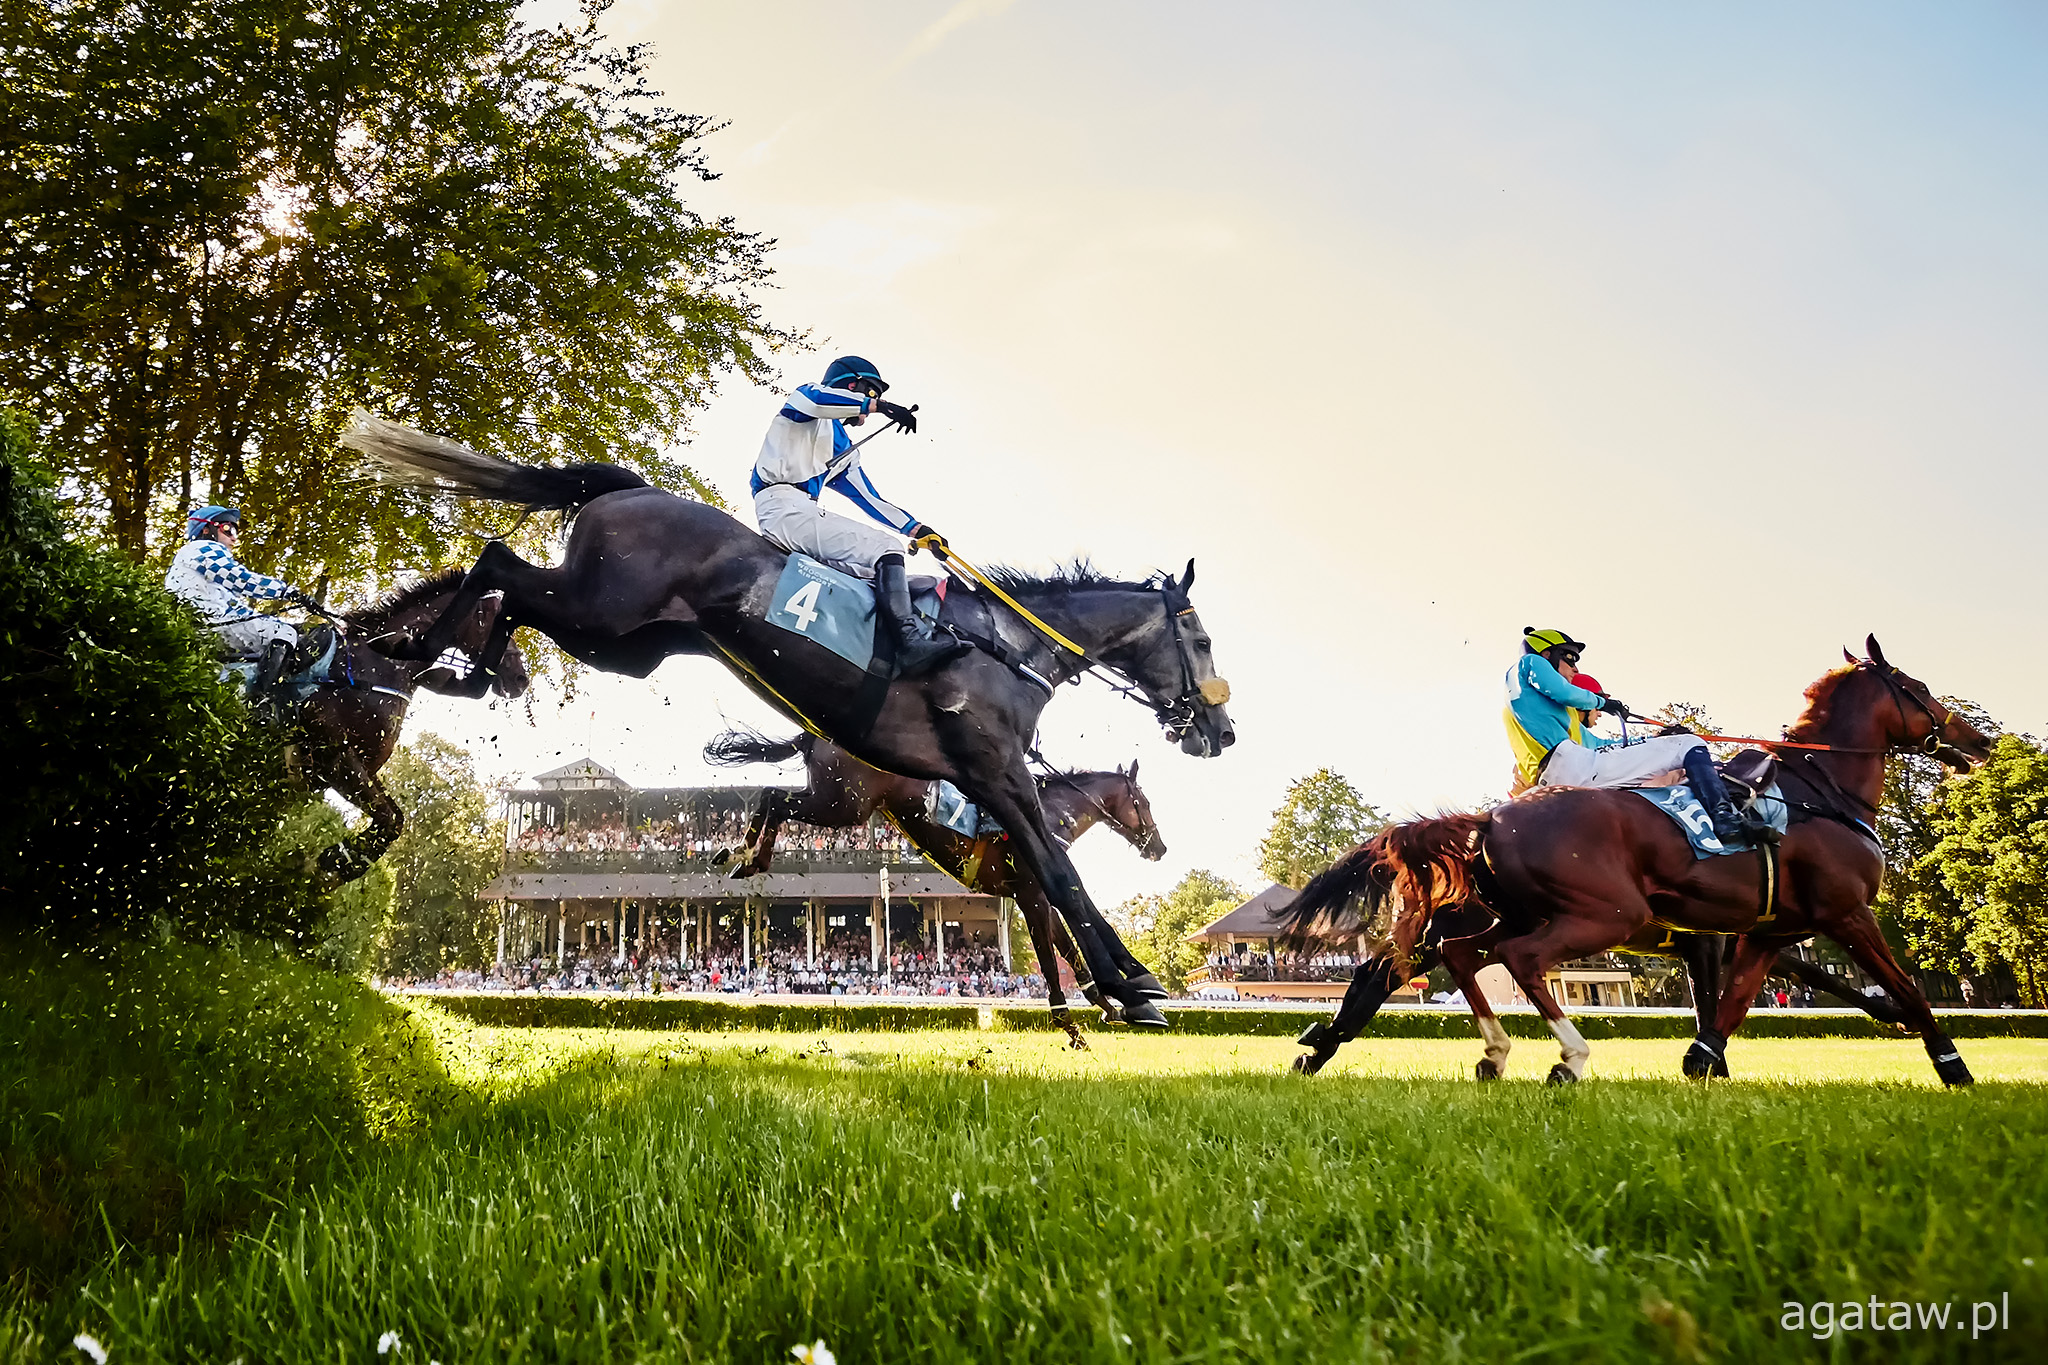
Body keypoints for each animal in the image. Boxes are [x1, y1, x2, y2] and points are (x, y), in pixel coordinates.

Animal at [280, 571, 528, 881]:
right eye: (501, 621)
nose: (521, 679)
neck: (379, 665)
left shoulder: (350, 769)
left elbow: (395, 819)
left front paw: (342, 859)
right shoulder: (336, 759)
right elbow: (389, 820)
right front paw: (337, 859)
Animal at [703, 728, 1165, 1044]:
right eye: (1142, 802)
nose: (1158, 847)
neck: (1048, 815)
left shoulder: (1030, 896)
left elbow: (1066, 950)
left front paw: (1109, 1005)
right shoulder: (1032, 894)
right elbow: (1052, 959)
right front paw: (1072, 1025)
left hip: (834, 801)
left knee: (771, 795)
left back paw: (743, 856)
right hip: (842, 805)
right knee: (774, 798)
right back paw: (749, 855)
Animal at [1285, 637, 1991, 1085]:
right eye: (1919, 688)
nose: (1979, 742)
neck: (1819, 792)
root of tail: (1490, 818)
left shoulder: (1766, 930)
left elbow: (1733, 1003)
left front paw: (1703, 1062)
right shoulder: (1843, 913)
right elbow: (1905, 989)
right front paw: (1951, 1064)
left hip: (1521, 914)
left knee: (1454, 958)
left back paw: (1481, 1051)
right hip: (1606, 914)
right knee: (1507, 961)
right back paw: (1566, 1058)